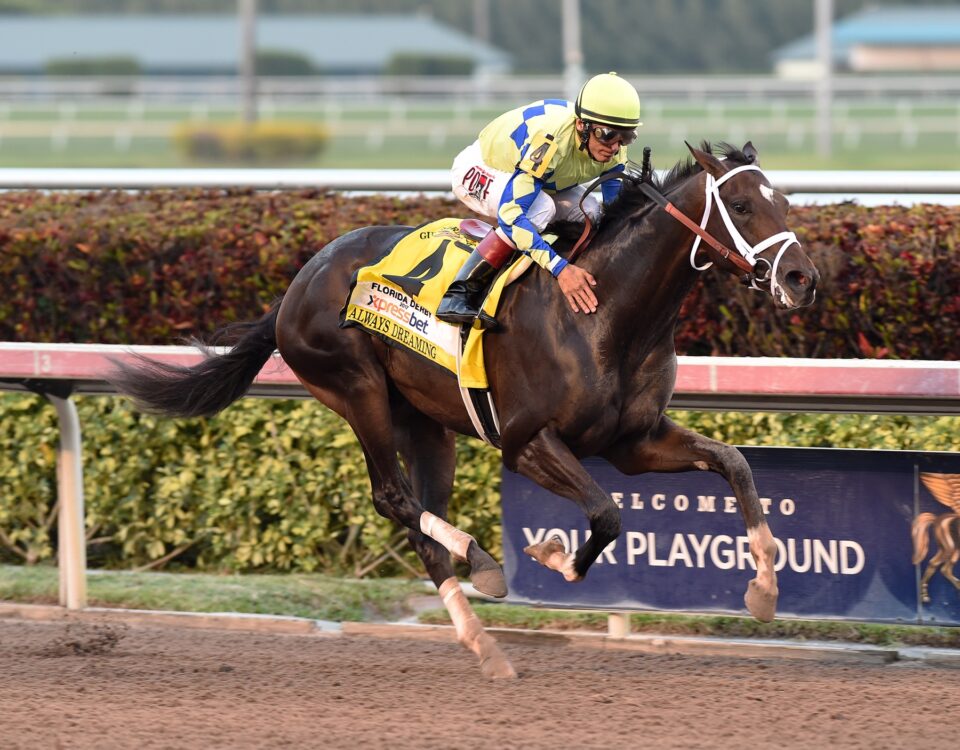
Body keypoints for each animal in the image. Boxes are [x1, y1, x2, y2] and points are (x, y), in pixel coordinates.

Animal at [112, 144, 816, 680]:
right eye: (743, 206)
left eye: (784, 202)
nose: (803, 280)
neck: (605, 312)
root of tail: (297, 284)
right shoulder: (527, 442)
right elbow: (605, 513)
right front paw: (552, 556)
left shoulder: (633, 442)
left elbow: (733, 464)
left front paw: (764, 591)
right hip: (355, 387)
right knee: (393, 498)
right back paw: (483, 565)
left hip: (424, 423)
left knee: (420, 522)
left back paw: (484, 641)